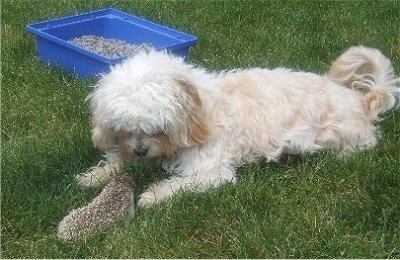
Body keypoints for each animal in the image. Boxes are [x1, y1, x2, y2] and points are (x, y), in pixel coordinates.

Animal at [76, 45, 398, 209]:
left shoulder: (211, 172)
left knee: (367, 142)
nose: (141, 150)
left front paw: (152, 195)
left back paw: (342, 156)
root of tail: (362, 99)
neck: (202, 110)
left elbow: (179, 184)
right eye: (125, 128)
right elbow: (116, 160)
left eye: (159, 127)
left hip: (333, 134)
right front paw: (96, 175)